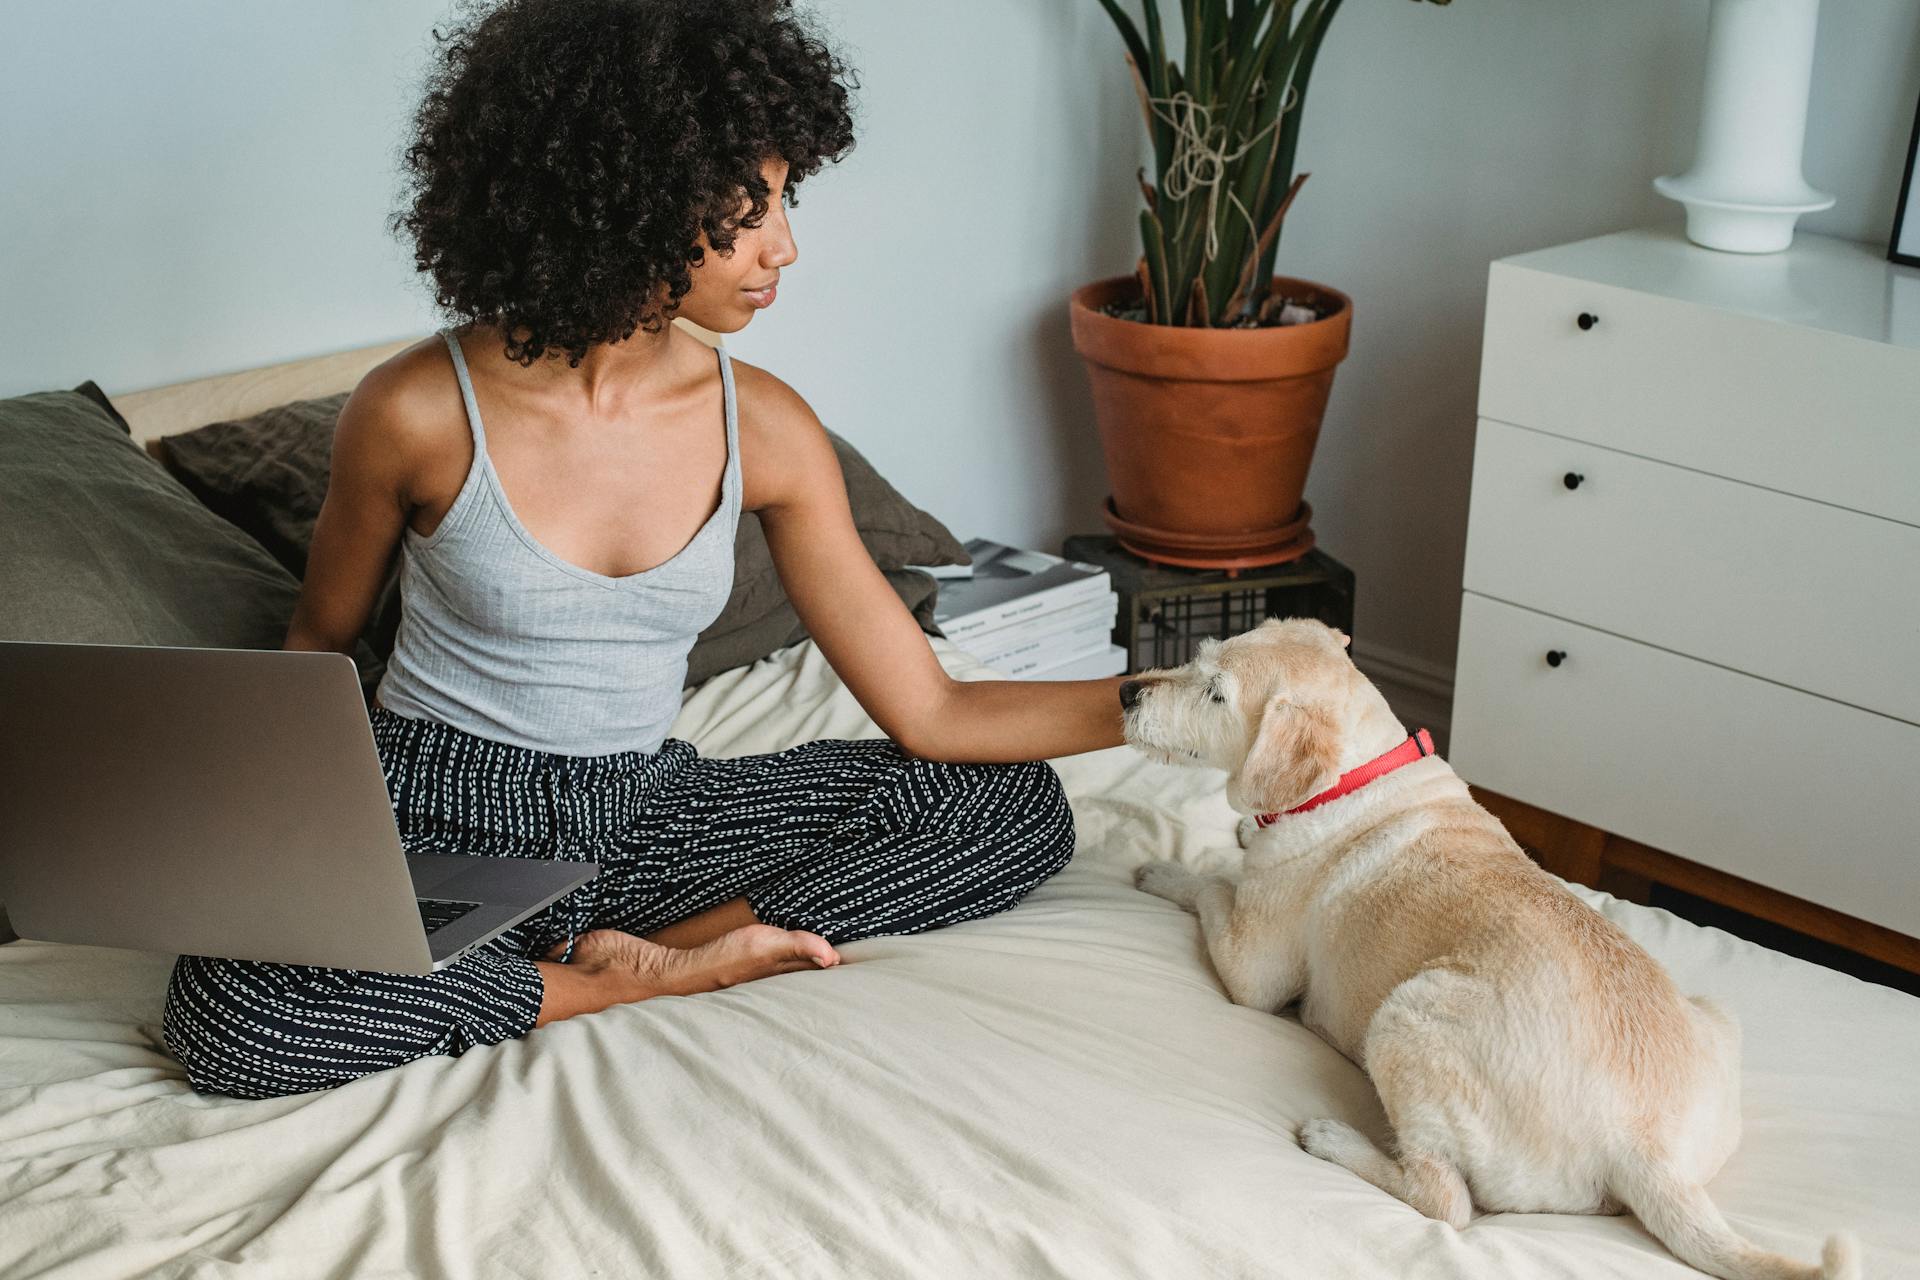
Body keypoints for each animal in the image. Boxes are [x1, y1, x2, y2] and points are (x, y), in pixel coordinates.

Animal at [1121, 621, 1858, 1280]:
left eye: (1216, 693)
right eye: (1198, 658)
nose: (1126, 690)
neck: (1357, 776)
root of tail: (1648, 1151)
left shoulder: (1251, 970)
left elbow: (1210, 885)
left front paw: (1167, 870)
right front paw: (1243, 831)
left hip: (1405, 1018)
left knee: (1444, 1202)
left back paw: (1337, 1141)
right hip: (1716, 1014)